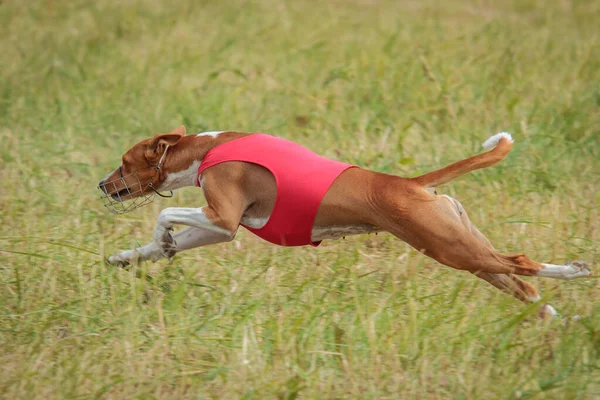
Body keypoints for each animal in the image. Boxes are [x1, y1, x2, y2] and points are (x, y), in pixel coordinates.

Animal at [98, 126, 592, 318]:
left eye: (123, 163)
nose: (102, 185)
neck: (206, 149)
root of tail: (410, 184)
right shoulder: (214, 228)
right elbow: (161, 241)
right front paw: (130, 256)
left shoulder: (224, 217)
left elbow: (164, 212)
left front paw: (161, 238)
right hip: (465, 251)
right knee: (523, 285)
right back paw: (556, 317)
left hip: (449, 248)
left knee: (523, 264)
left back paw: (575, 271)